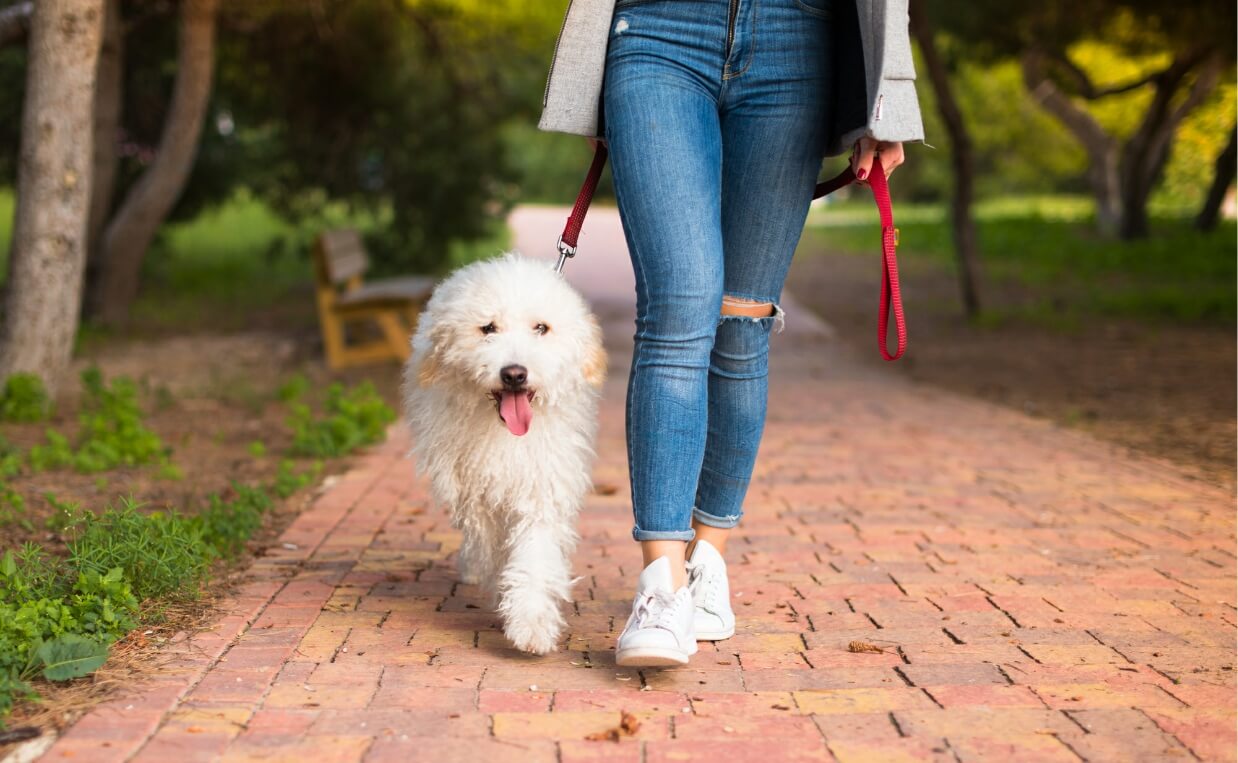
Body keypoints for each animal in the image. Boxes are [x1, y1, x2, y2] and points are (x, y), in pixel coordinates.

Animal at [401, 253, 604, 654]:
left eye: (541, 328)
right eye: (487, 328)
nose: (514, 374)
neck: (507, 434)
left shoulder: (543, 487)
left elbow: (535, 552)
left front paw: (532, 622)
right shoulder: (477, 497)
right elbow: (493, 546)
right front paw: (506, 596)